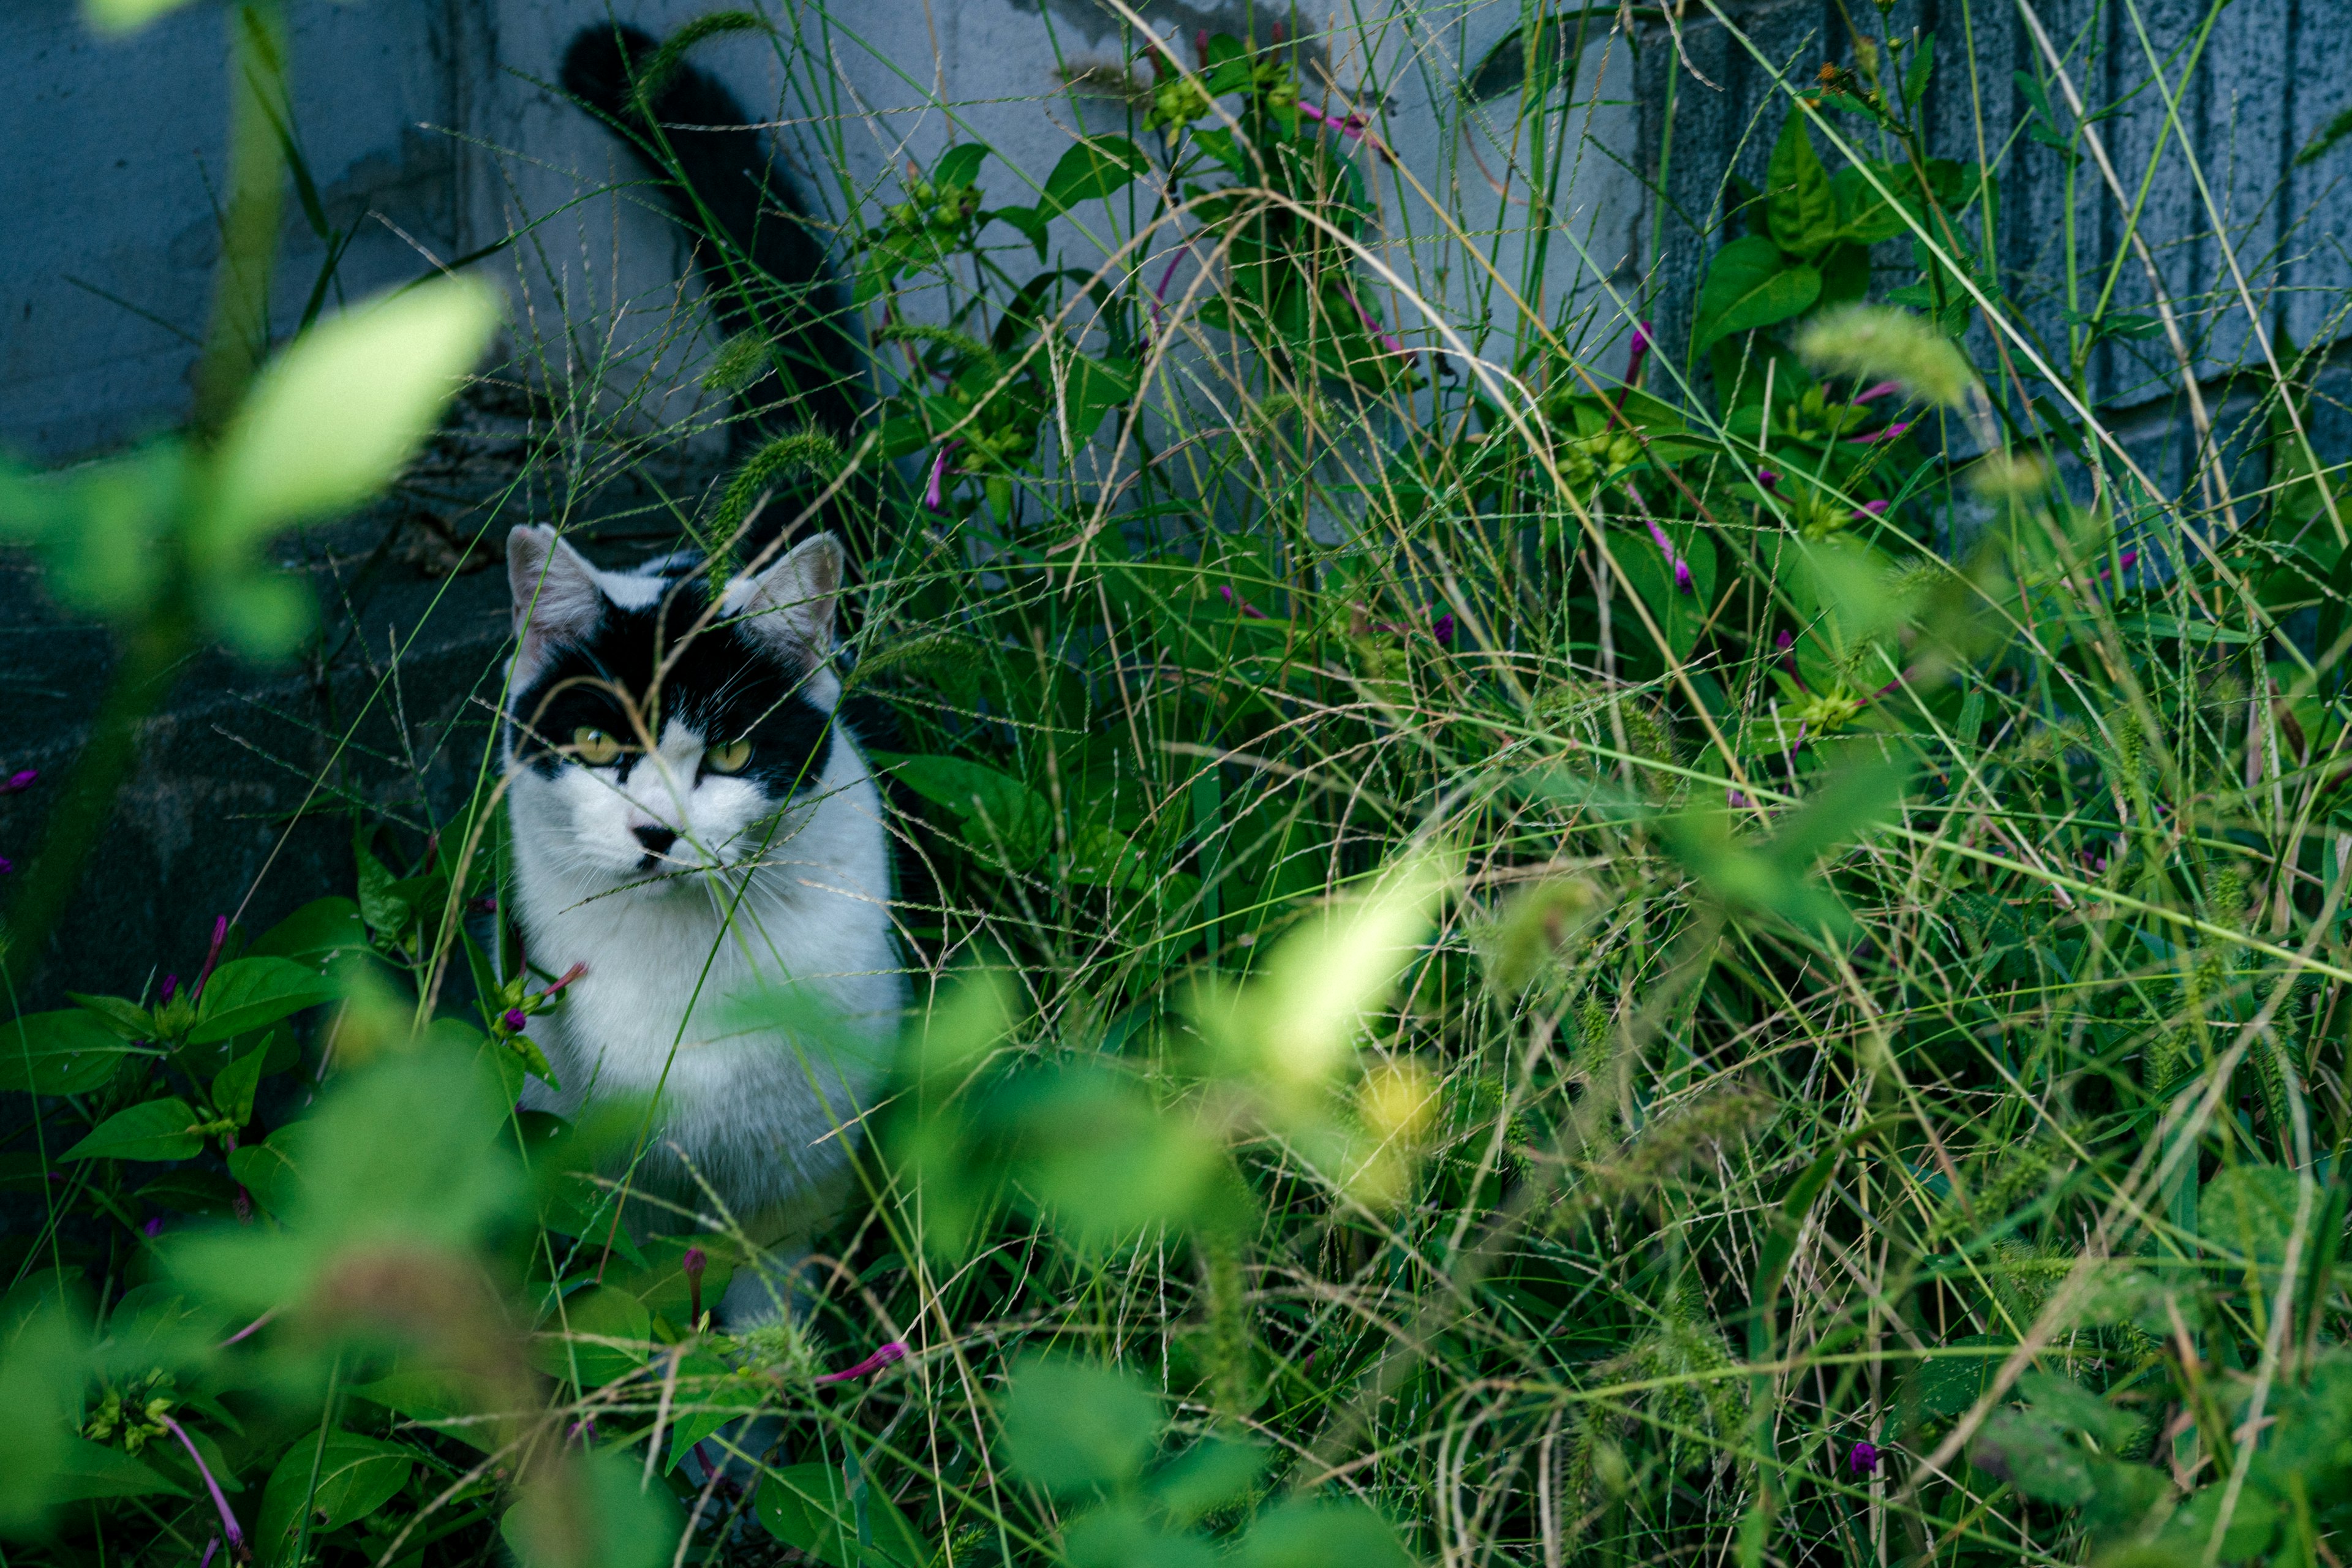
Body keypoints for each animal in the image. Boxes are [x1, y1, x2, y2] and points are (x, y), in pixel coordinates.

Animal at [499, 526, 898, 1325]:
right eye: (595, 741)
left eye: (732, 753)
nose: (657, 832)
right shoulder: (604, 1172)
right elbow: (628, 1288)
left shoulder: (799, 1170)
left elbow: (766, 1297)